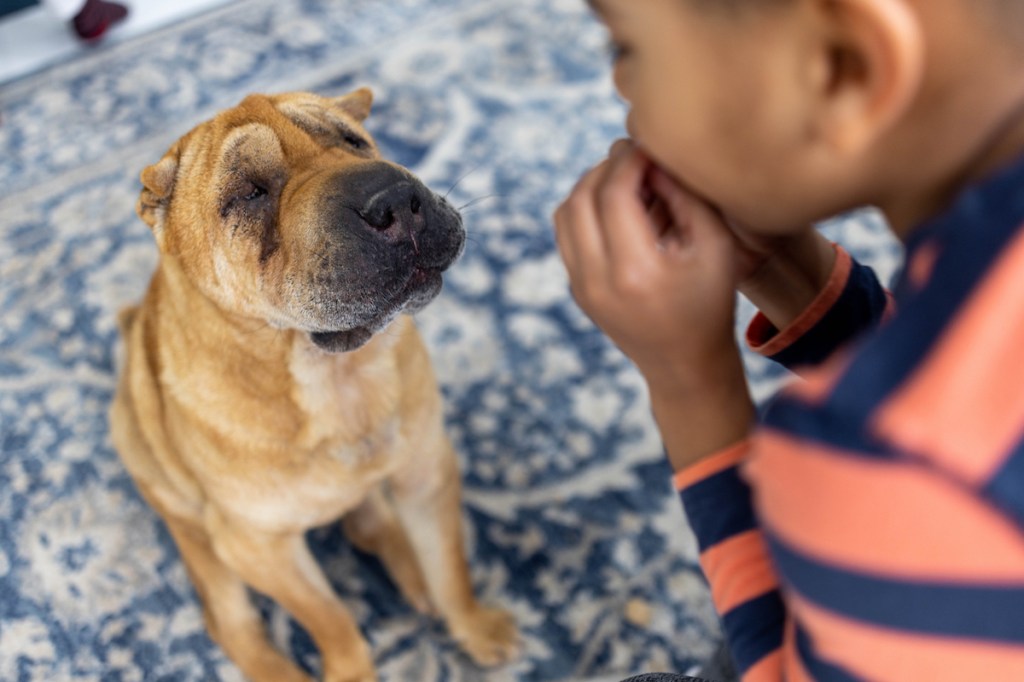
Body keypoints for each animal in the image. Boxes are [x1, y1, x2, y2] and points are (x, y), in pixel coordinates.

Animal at [110, 90, 520, 679]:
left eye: (354, 140)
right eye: (248, 192)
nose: (395, 201)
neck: (332, 375)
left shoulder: (427, 472)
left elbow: (450, 566)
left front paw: (474, 626)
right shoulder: (260, 548)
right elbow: (332, 621)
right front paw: (352, 669)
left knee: (370, 523)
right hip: (189, 523)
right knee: (231, 621)